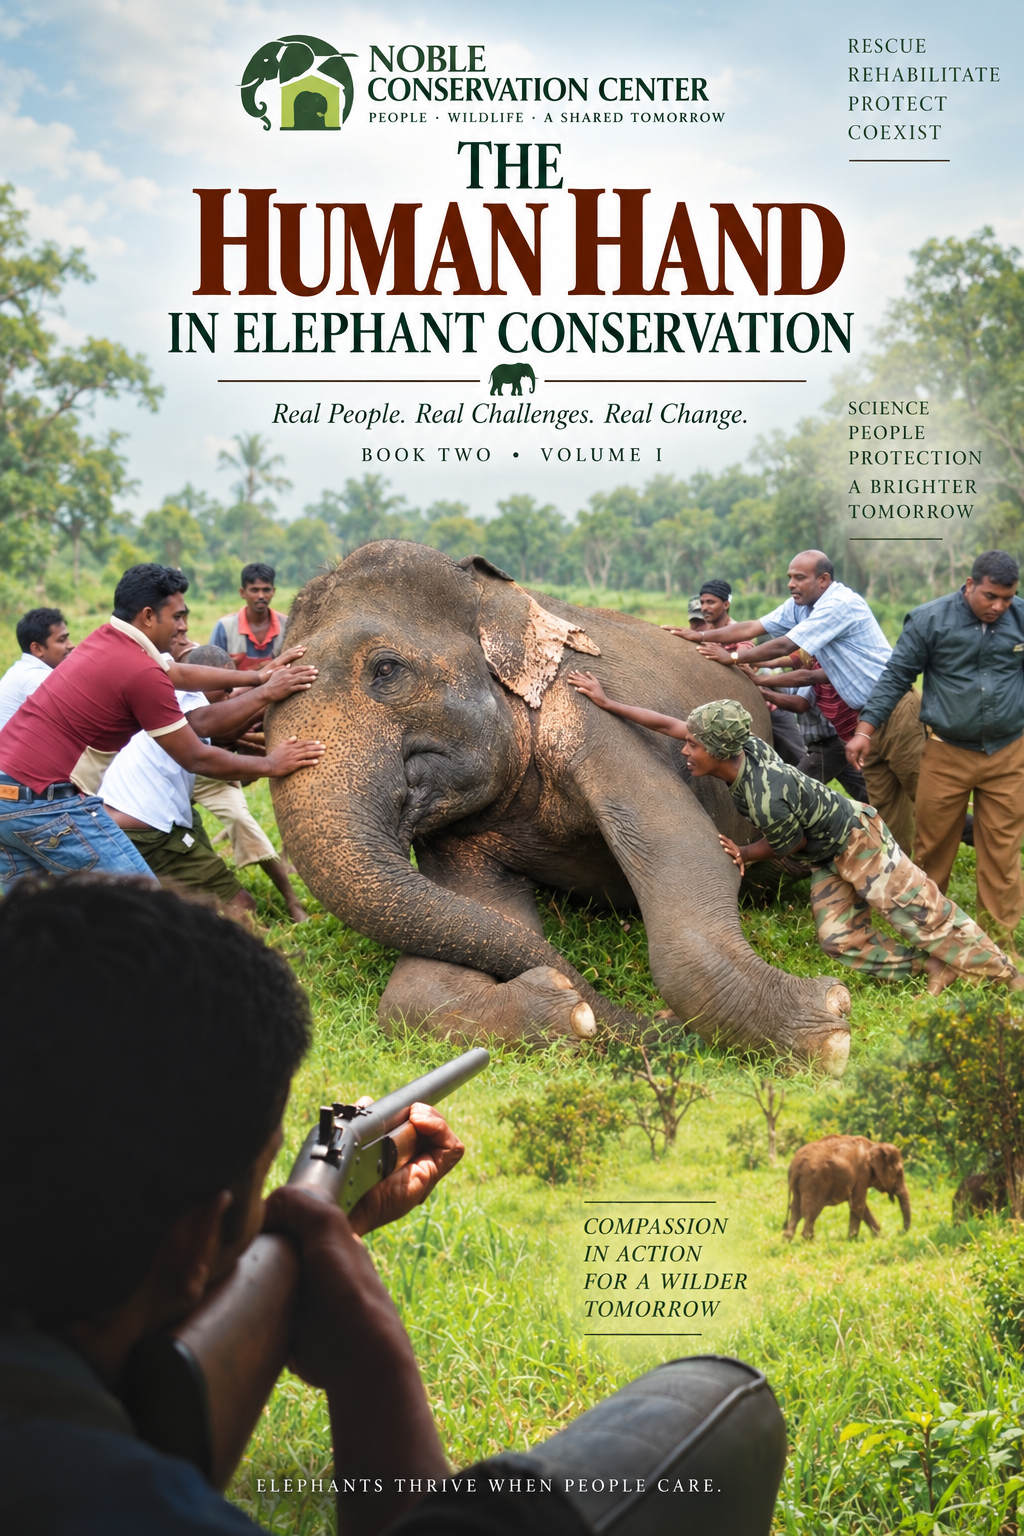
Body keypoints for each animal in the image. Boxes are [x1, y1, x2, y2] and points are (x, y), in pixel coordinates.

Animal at [266, 542, 852, 1071]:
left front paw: (828, 1023)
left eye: (386, 670)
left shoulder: (595, 717)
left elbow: (690, 855)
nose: (659, 1028)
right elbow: (441, 962)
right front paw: (567, 1011)